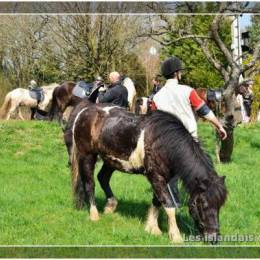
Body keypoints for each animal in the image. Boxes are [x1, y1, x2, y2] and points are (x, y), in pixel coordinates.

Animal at [65, 99, 228, 244]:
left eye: (220, 205)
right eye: (202, 204)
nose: (214, 238)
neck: (164, 143)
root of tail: (85, 111)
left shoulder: (163, 178)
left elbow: (157, 201)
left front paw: (152, 228)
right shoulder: (156, 176)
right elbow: (168, 204)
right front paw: (175, 236)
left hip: (111, 160)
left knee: (102, 178)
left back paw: (111, 205)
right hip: (87, 156)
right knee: (89, 183)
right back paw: (94, 215)